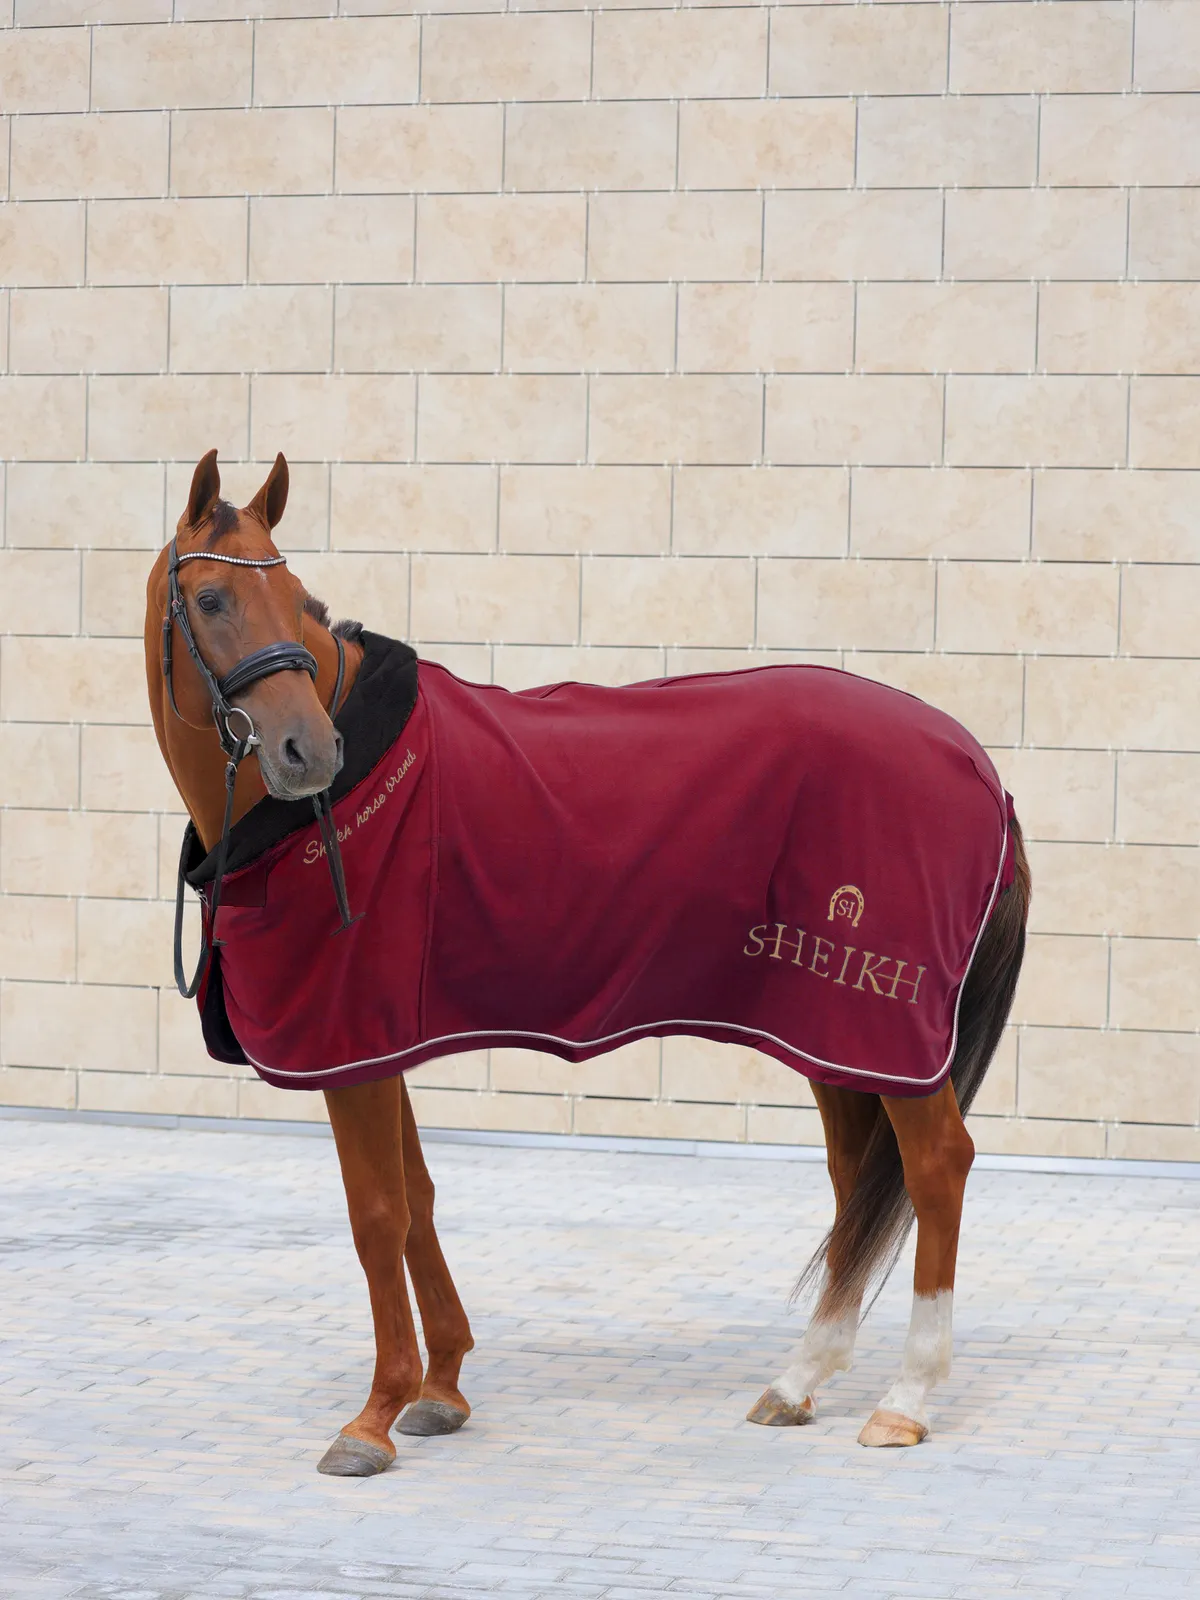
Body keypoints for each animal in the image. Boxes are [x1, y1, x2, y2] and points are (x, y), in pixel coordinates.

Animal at [144, 449, 1030, 1476]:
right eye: (212, 598)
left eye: (293, 596)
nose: (307, 751)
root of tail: (975, 762)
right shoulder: (381, 1041)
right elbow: (419, 1198)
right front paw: (443, 1389)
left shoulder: (350, 1043)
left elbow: (376, 1214)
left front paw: (373, 1417)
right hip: (839, 1033)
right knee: (857, 1181)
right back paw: (799, 1380)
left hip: (887, 1025)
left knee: (935, 1166)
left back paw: (905, 1398)